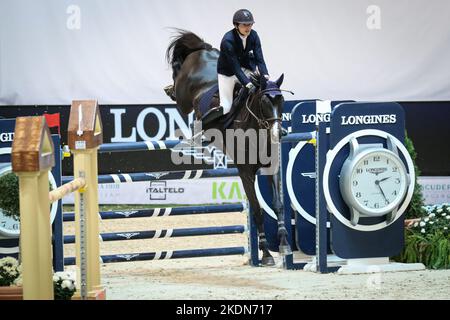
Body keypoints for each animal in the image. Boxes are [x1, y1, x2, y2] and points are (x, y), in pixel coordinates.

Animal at [166, 30, 292, 266]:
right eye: (264, 102)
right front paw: (266, 254)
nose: (278, 133)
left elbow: (278, 204)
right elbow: (258, 210)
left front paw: (284, 244)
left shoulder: (272, 167)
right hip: (185, 97)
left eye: (281, 101)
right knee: (178, 91)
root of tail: (203, 50)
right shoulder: (246, 173)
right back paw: (171, 90)